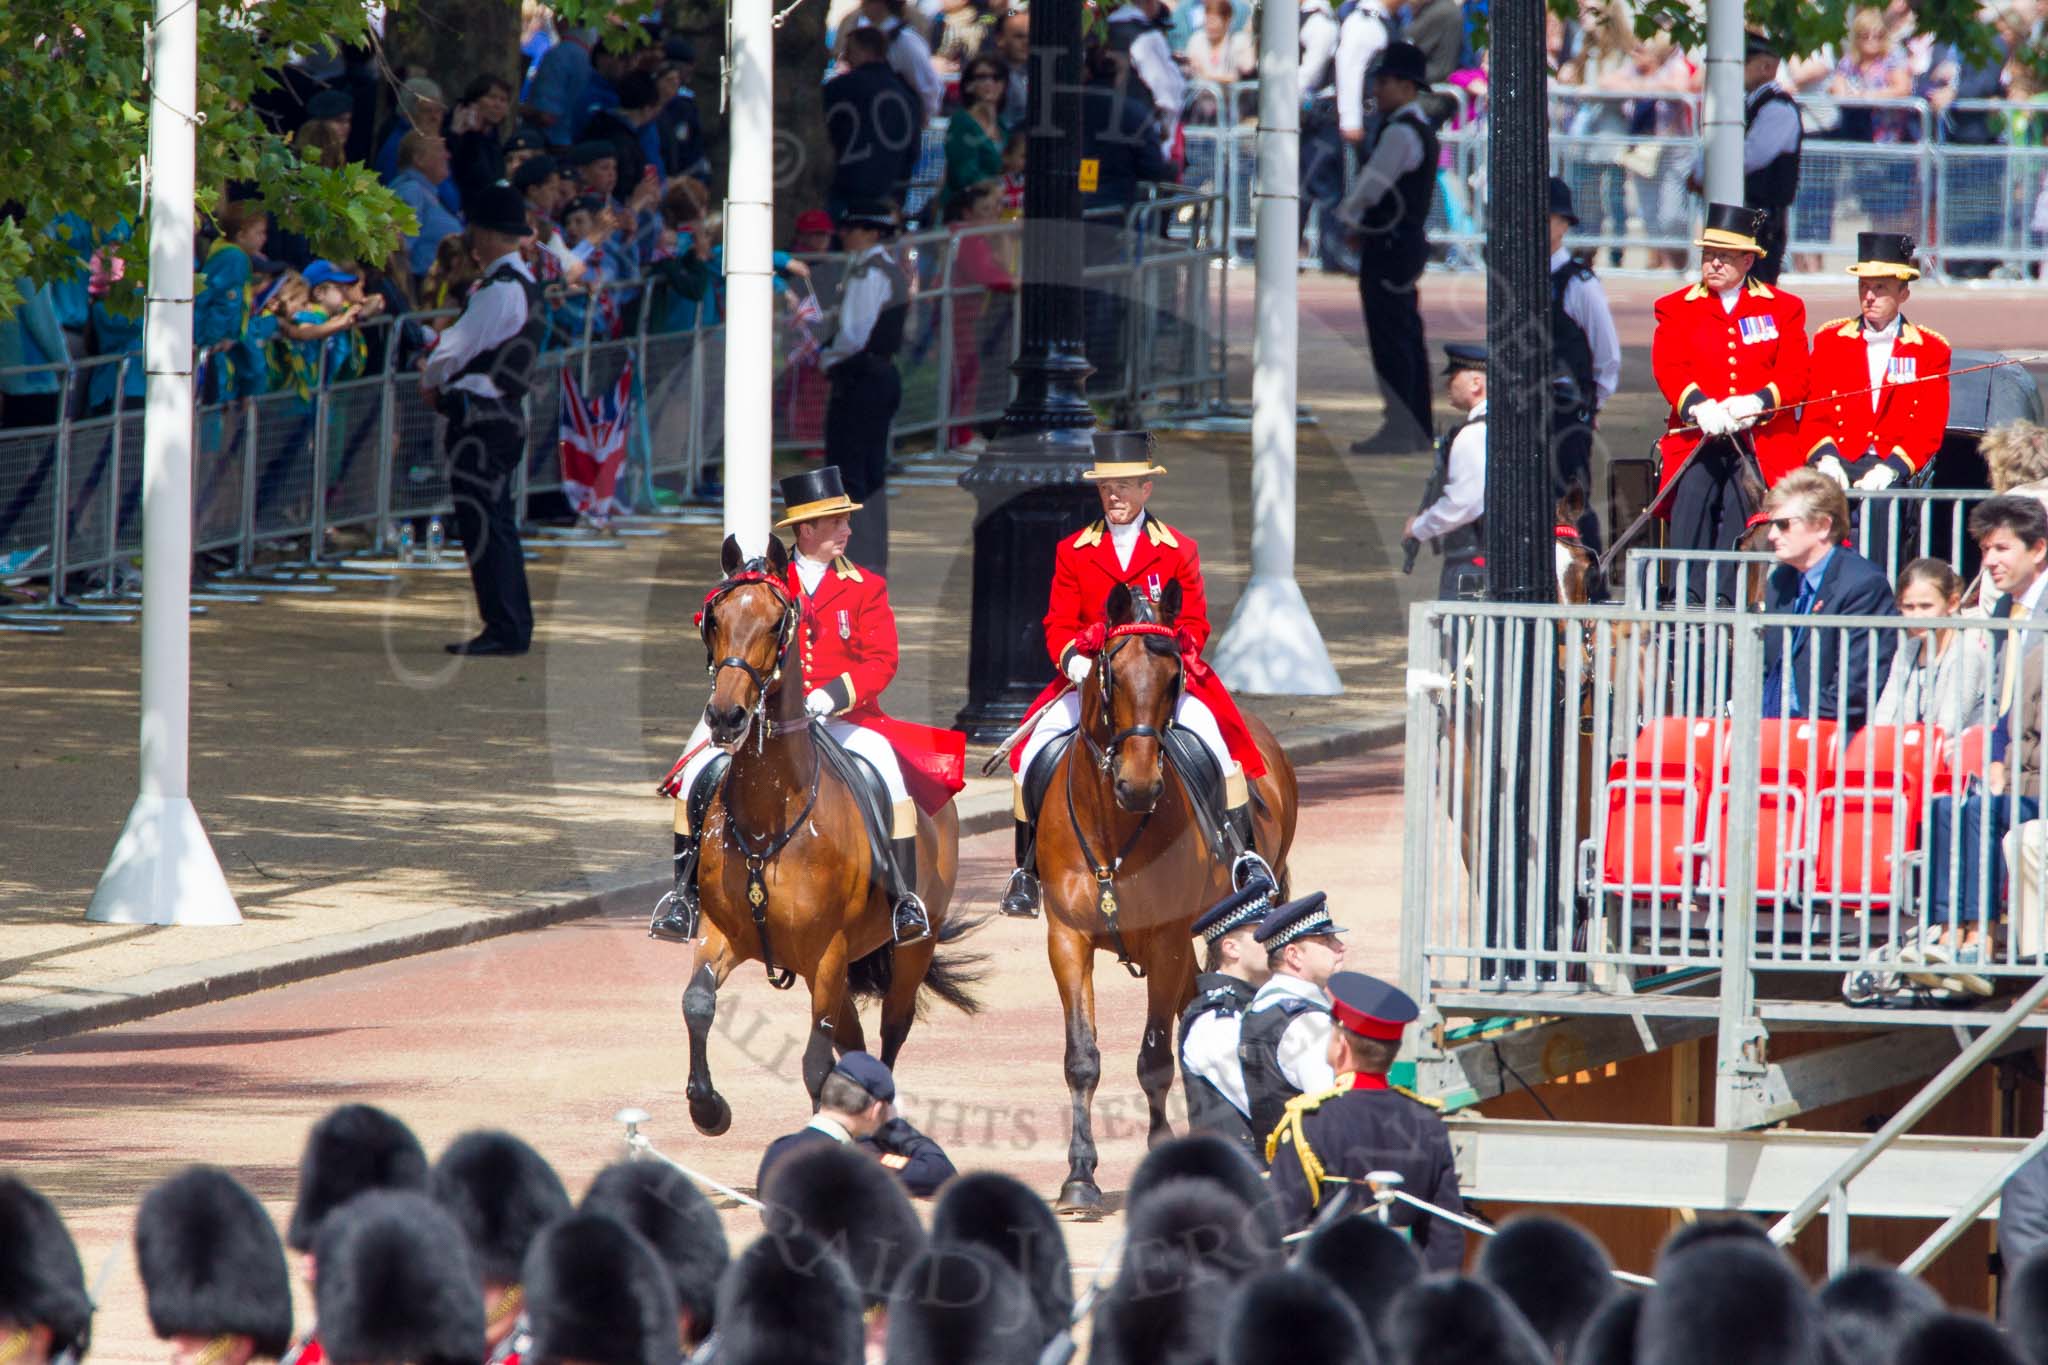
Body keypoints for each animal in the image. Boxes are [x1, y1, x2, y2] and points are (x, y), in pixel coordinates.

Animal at [679, 540, 983, 1137]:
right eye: (714, 619)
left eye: (777, 623)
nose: (726, 716)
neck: (770, 814)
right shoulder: (723, 934)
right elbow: (698, 1003)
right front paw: (708, 1108)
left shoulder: (827, 954)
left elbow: (815, 1061)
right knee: (856, 1042)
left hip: (910, 948)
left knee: (889, 1032)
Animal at [1040, 581, 1294, 1219]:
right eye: (1112, 672)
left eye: (1175, 674)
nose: (1139, 785)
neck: (1113, 825)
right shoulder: (1067, 939)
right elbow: (1082, 1059)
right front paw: (1079, 1177)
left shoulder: (1167, 940)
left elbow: (1155, 1059)